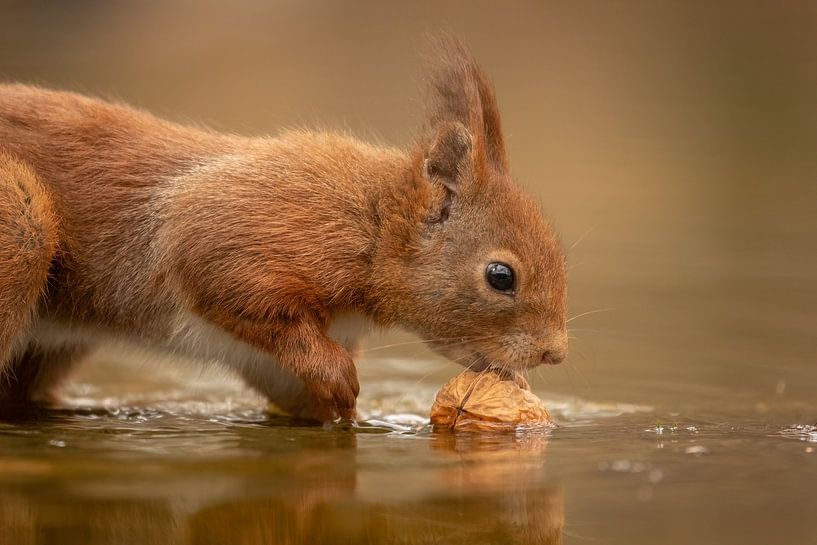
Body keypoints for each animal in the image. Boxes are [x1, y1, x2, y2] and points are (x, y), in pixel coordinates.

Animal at [0, 38, 567, 422]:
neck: (373, 222)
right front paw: (340, 380)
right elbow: (231, 284)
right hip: (22, 232)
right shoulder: (245, 231)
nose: (554, 354)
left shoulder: (261, 356)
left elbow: (288, 387)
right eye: (500, 276)